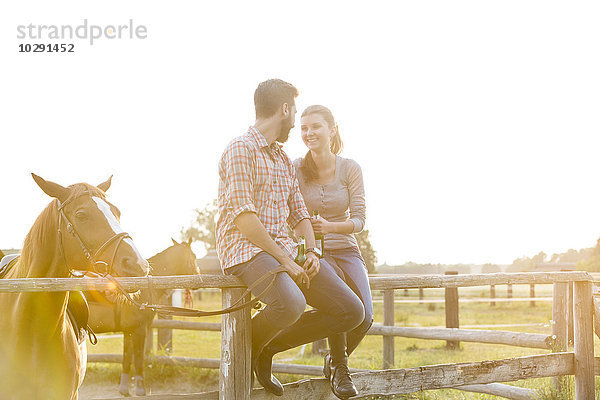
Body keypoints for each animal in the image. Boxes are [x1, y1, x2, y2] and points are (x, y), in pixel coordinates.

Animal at [87, 238, 199, 396]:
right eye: (193, 256)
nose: (197, 274)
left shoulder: (128, 331)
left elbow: (127, 358)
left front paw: (124, 390)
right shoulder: (140, 330)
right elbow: (139, 358)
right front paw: (141, 390)